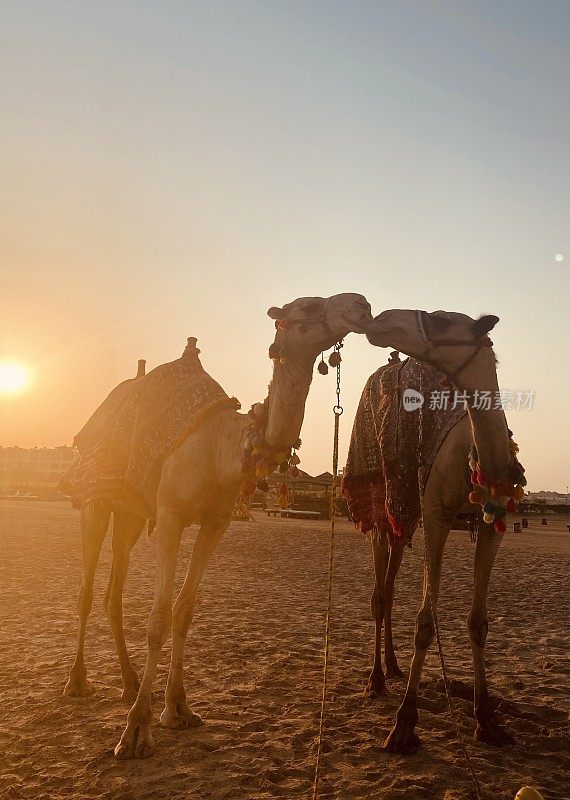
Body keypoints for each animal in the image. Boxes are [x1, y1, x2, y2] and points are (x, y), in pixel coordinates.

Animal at [112, 292, 372, 756]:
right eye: (308, 305)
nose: (360, 303)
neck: (224, 448)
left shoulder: (216, 523)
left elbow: (184, 610)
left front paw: (178, 710)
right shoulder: (171, 514)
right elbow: (158, 618)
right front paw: (136, 731)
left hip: (132, 514)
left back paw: (121, 684)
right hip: (103, 502)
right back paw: (81, 685)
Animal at [344, 310, 520, 752]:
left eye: (441, 320)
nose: (379, 319)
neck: (482, 461)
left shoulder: (494, 524)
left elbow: (478, 622)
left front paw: (488, 721)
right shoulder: (437, 513)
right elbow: (425, 622)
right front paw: (403, 726)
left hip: (405, 516)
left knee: (390, 584)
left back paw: (392, 666)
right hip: (381, 501)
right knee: (379, 592)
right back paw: (375, 680)